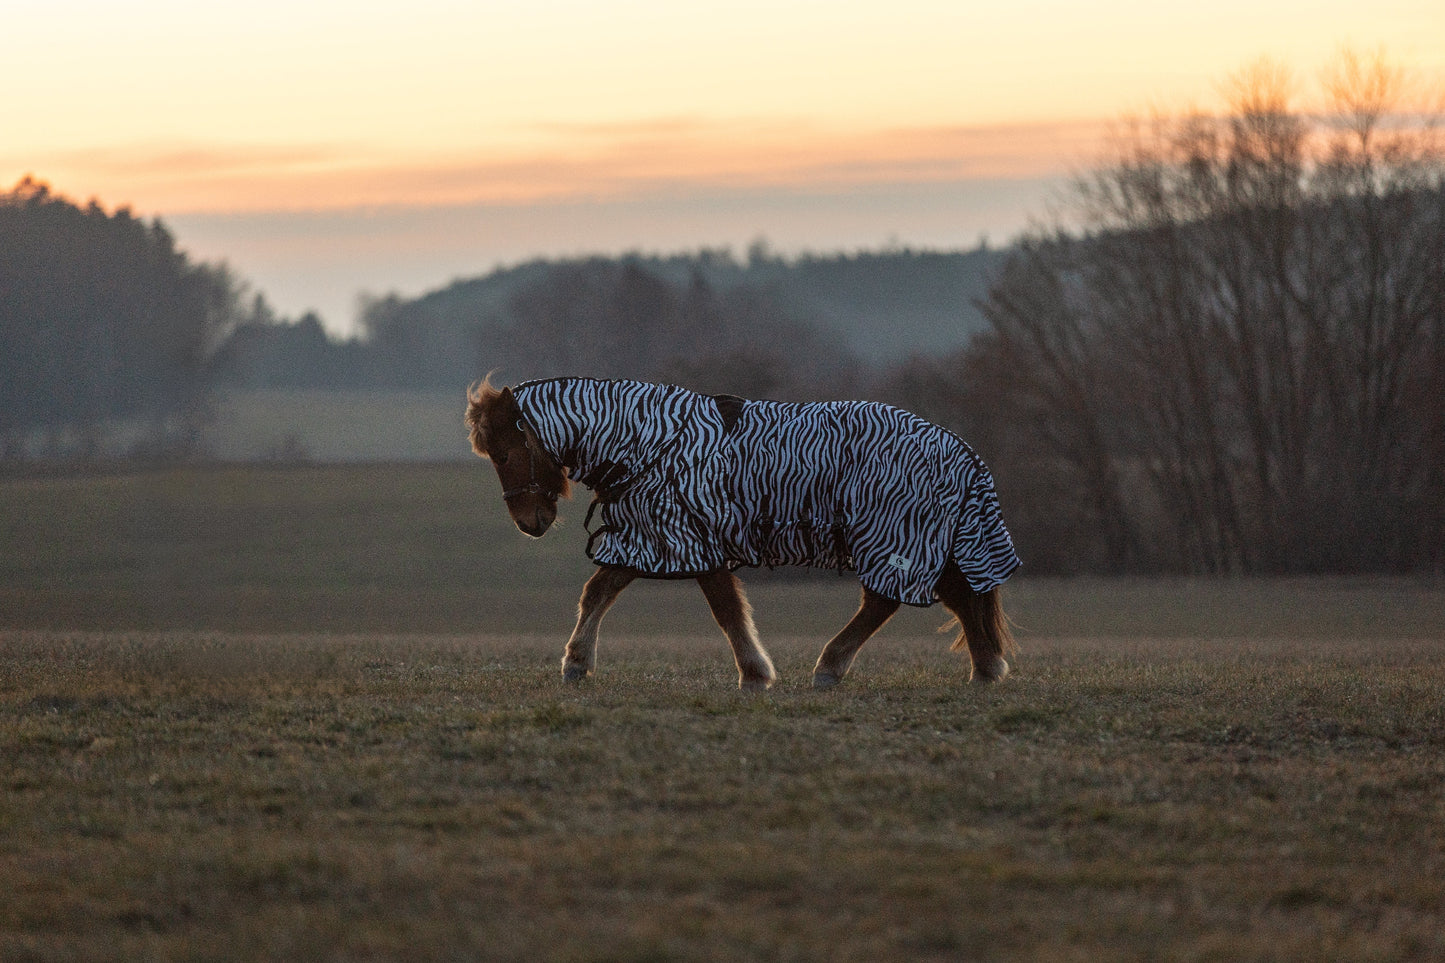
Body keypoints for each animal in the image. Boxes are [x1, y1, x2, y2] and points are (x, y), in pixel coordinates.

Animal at [462, 375, 1017, 691]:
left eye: (506, 453)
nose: (529, 523)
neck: (654, 443)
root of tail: (959, 448)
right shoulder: (650, 538)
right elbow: (598, 592)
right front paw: (577, 663)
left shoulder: (691, 539)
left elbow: (726, 610)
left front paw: (754, 673)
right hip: (926, 543)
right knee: (958, 598)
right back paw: (984, 669)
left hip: (899, 540)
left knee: (889, 601)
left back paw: (831, 667)